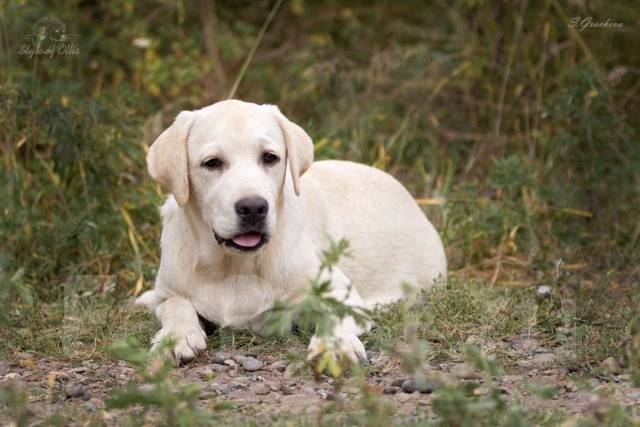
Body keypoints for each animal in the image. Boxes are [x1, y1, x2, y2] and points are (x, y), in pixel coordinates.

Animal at [136, 99, 444, 364]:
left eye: (270, 157)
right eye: (212, 163)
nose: (253, 207)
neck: (235, 264)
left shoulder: (341, 293)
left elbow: (333, 313)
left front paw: (334, 346)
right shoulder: (169, 291)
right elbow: (176, 305)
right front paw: (176, 337)